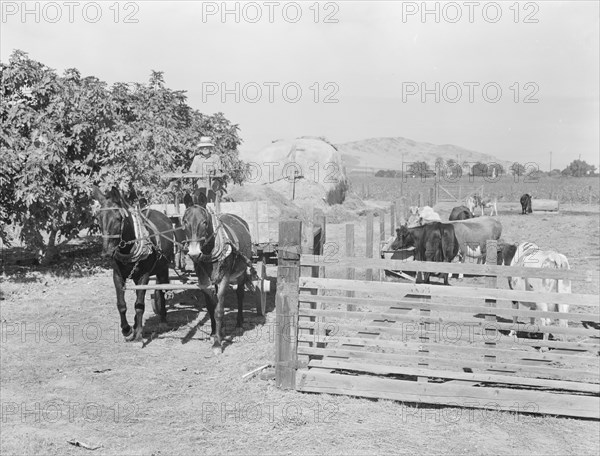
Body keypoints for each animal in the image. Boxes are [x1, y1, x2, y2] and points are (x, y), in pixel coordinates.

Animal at [90, 186, 177, 342]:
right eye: (98, 218)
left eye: (118, 218)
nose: (106, 253)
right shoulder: (117, 276)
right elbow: (121, 305)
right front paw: (127, 329)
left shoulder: (144, 276)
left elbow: (139, 305)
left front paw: (138, 334)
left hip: (163, 268)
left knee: (161, 290)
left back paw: (162, 320)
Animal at [178, 191, 253, 354]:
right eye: (184, 221)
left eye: (204, 222)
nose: (194, 253)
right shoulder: (204, 282)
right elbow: (211, 306)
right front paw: (214, 333)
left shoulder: (224, 279)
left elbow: (219, 310)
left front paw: (218, 343)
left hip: (242, 271)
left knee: (239, 294)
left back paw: (239, 323)